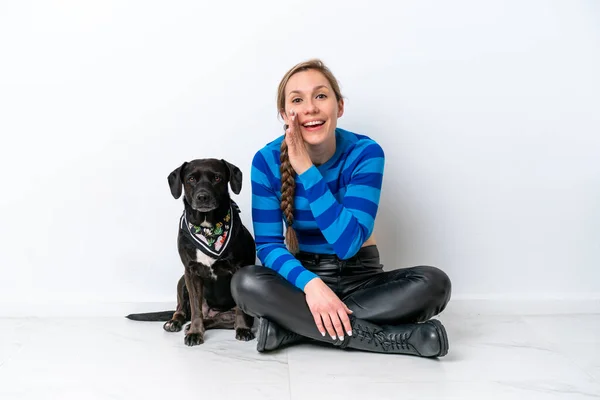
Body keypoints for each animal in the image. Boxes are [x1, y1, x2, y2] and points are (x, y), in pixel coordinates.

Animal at [126, 158, 255, 346]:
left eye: (217, 178)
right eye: (191, 179)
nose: (202, 197)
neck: (207, 228)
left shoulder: (239, 268)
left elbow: (240, 309)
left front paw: (243, 329)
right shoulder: (191, 272)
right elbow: (195, 309)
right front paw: (195, 332)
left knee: (214, 320)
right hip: (182, 280)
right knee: (184, 310)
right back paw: (175, 322)